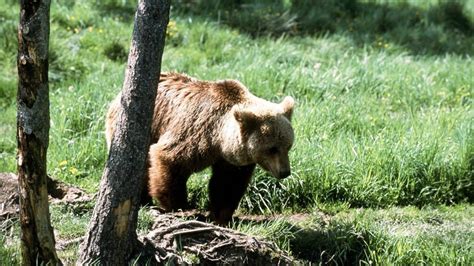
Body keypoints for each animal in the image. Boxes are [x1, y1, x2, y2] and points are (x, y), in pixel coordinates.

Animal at [105, 72, 294, 224]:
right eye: (272, 148)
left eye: (288, 146)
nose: (285, 172)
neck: (219, 139)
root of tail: (118, 96)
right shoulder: (195, 132)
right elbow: (168, 159)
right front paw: (179, 204)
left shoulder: (232, 159)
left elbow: (228, 183)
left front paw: (221, 215)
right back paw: (144, 200)